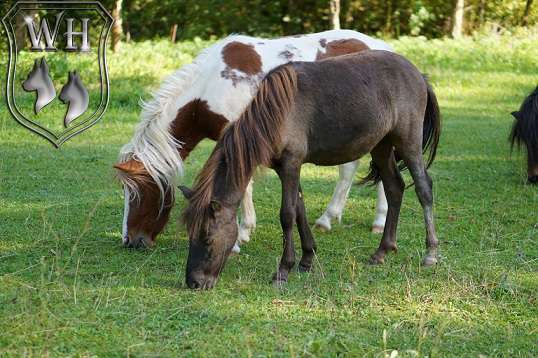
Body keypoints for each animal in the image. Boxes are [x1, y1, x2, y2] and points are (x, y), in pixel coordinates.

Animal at [113, 29, 390, 250]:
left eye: (139, 192)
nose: (130, 241)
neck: (210, 87)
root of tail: (384, 48)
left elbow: (242, 185)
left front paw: (238, 238)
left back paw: (379, 220)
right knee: (349, 169)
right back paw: (327, 218)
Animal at [180, 50, 440, 290]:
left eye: (208, 238)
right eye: (190, 234)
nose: (194, 282)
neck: (276, 112)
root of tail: (418, 74)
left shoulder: (291, 165)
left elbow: (287, 214)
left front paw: (283, 269)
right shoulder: (285, 168)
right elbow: (299, 209)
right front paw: (307, 259)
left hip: (408, 142)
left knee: (424, 189)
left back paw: (431, 253)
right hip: (382, 146)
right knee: (395, 188)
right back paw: (382, 251)